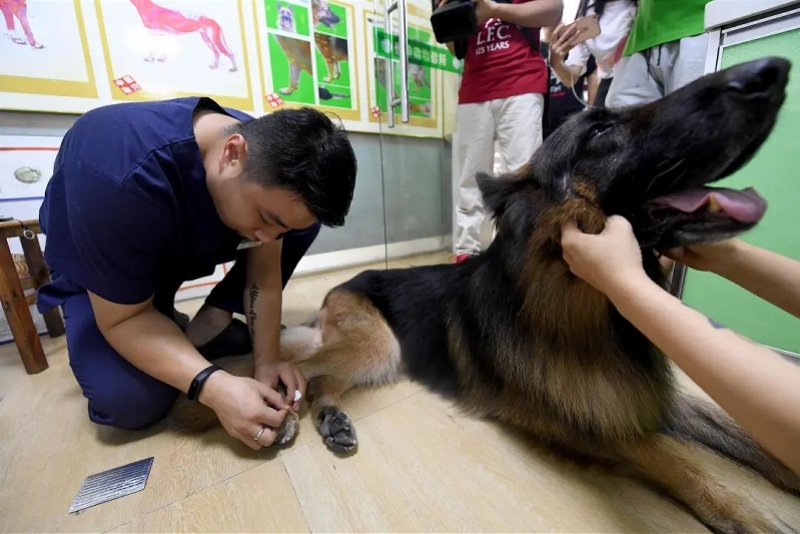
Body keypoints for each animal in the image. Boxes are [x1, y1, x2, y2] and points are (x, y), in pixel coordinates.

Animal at [170, 57, 800, 533]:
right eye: (599, 132)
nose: (771, 70)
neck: (573, 302)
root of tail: (345, 286)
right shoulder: (581, 416)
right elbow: (669, 456)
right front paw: (746, 511)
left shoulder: (642, 395)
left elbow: (745, 432)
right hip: (380, 346)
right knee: (298, 374)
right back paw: (261, 409)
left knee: (322, 381)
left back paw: (332, 420)